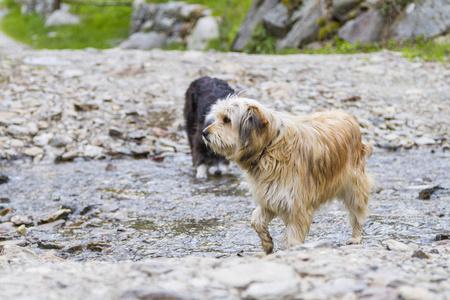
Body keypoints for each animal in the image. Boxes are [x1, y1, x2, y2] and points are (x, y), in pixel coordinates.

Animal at [203, 96, 372, 253]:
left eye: (227, 120)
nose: (204, 132)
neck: (269, 147)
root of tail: (348, 116)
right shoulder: (271, 197)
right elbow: (255, 220)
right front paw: (267, 242)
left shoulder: (296, 205)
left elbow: (293, 235)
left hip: (355, 187)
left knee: (357, 213)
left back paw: (355, 237)